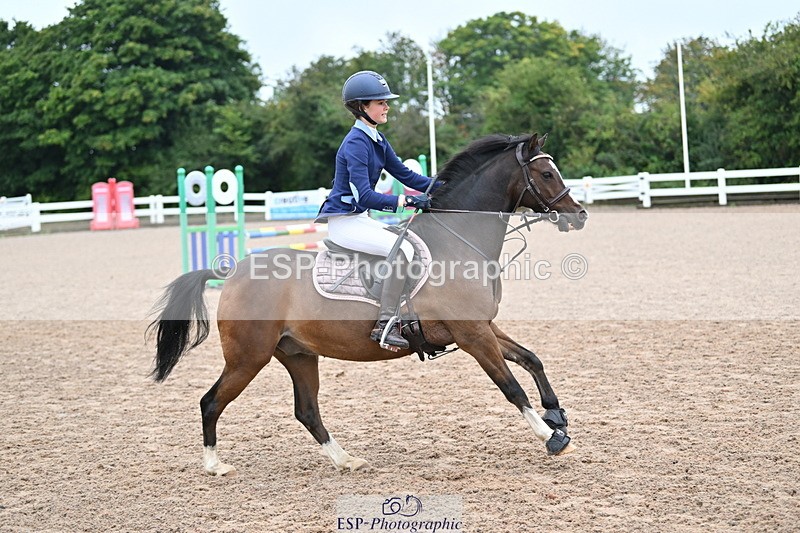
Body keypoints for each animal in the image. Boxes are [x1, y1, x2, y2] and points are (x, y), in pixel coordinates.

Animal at [148, 132, 588, 475]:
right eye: (546, 174)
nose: (580, 215)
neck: (457, 240)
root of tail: (233, 273)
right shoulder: (471, 334)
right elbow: (510, 386)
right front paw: (551, 436)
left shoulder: (484, 327)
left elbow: (531, 359)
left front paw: (557, 415)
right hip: (248, 357)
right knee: (211, 402)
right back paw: (214, 465)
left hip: (298, 354)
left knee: (306, 411)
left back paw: (345, 460)